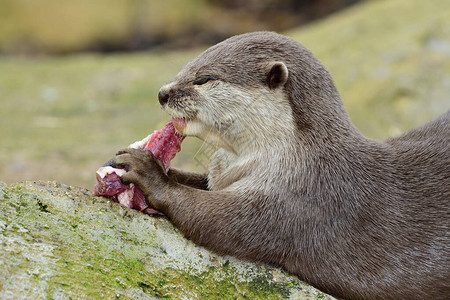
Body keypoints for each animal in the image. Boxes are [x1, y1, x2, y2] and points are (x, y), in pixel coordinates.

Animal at [111, 31, 446, 298]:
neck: (295, 156)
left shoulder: (300, 198)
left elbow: (214, 219)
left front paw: (149, 171)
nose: (162, 93)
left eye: (204, 79)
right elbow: (202, 181)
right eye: (184, 67)